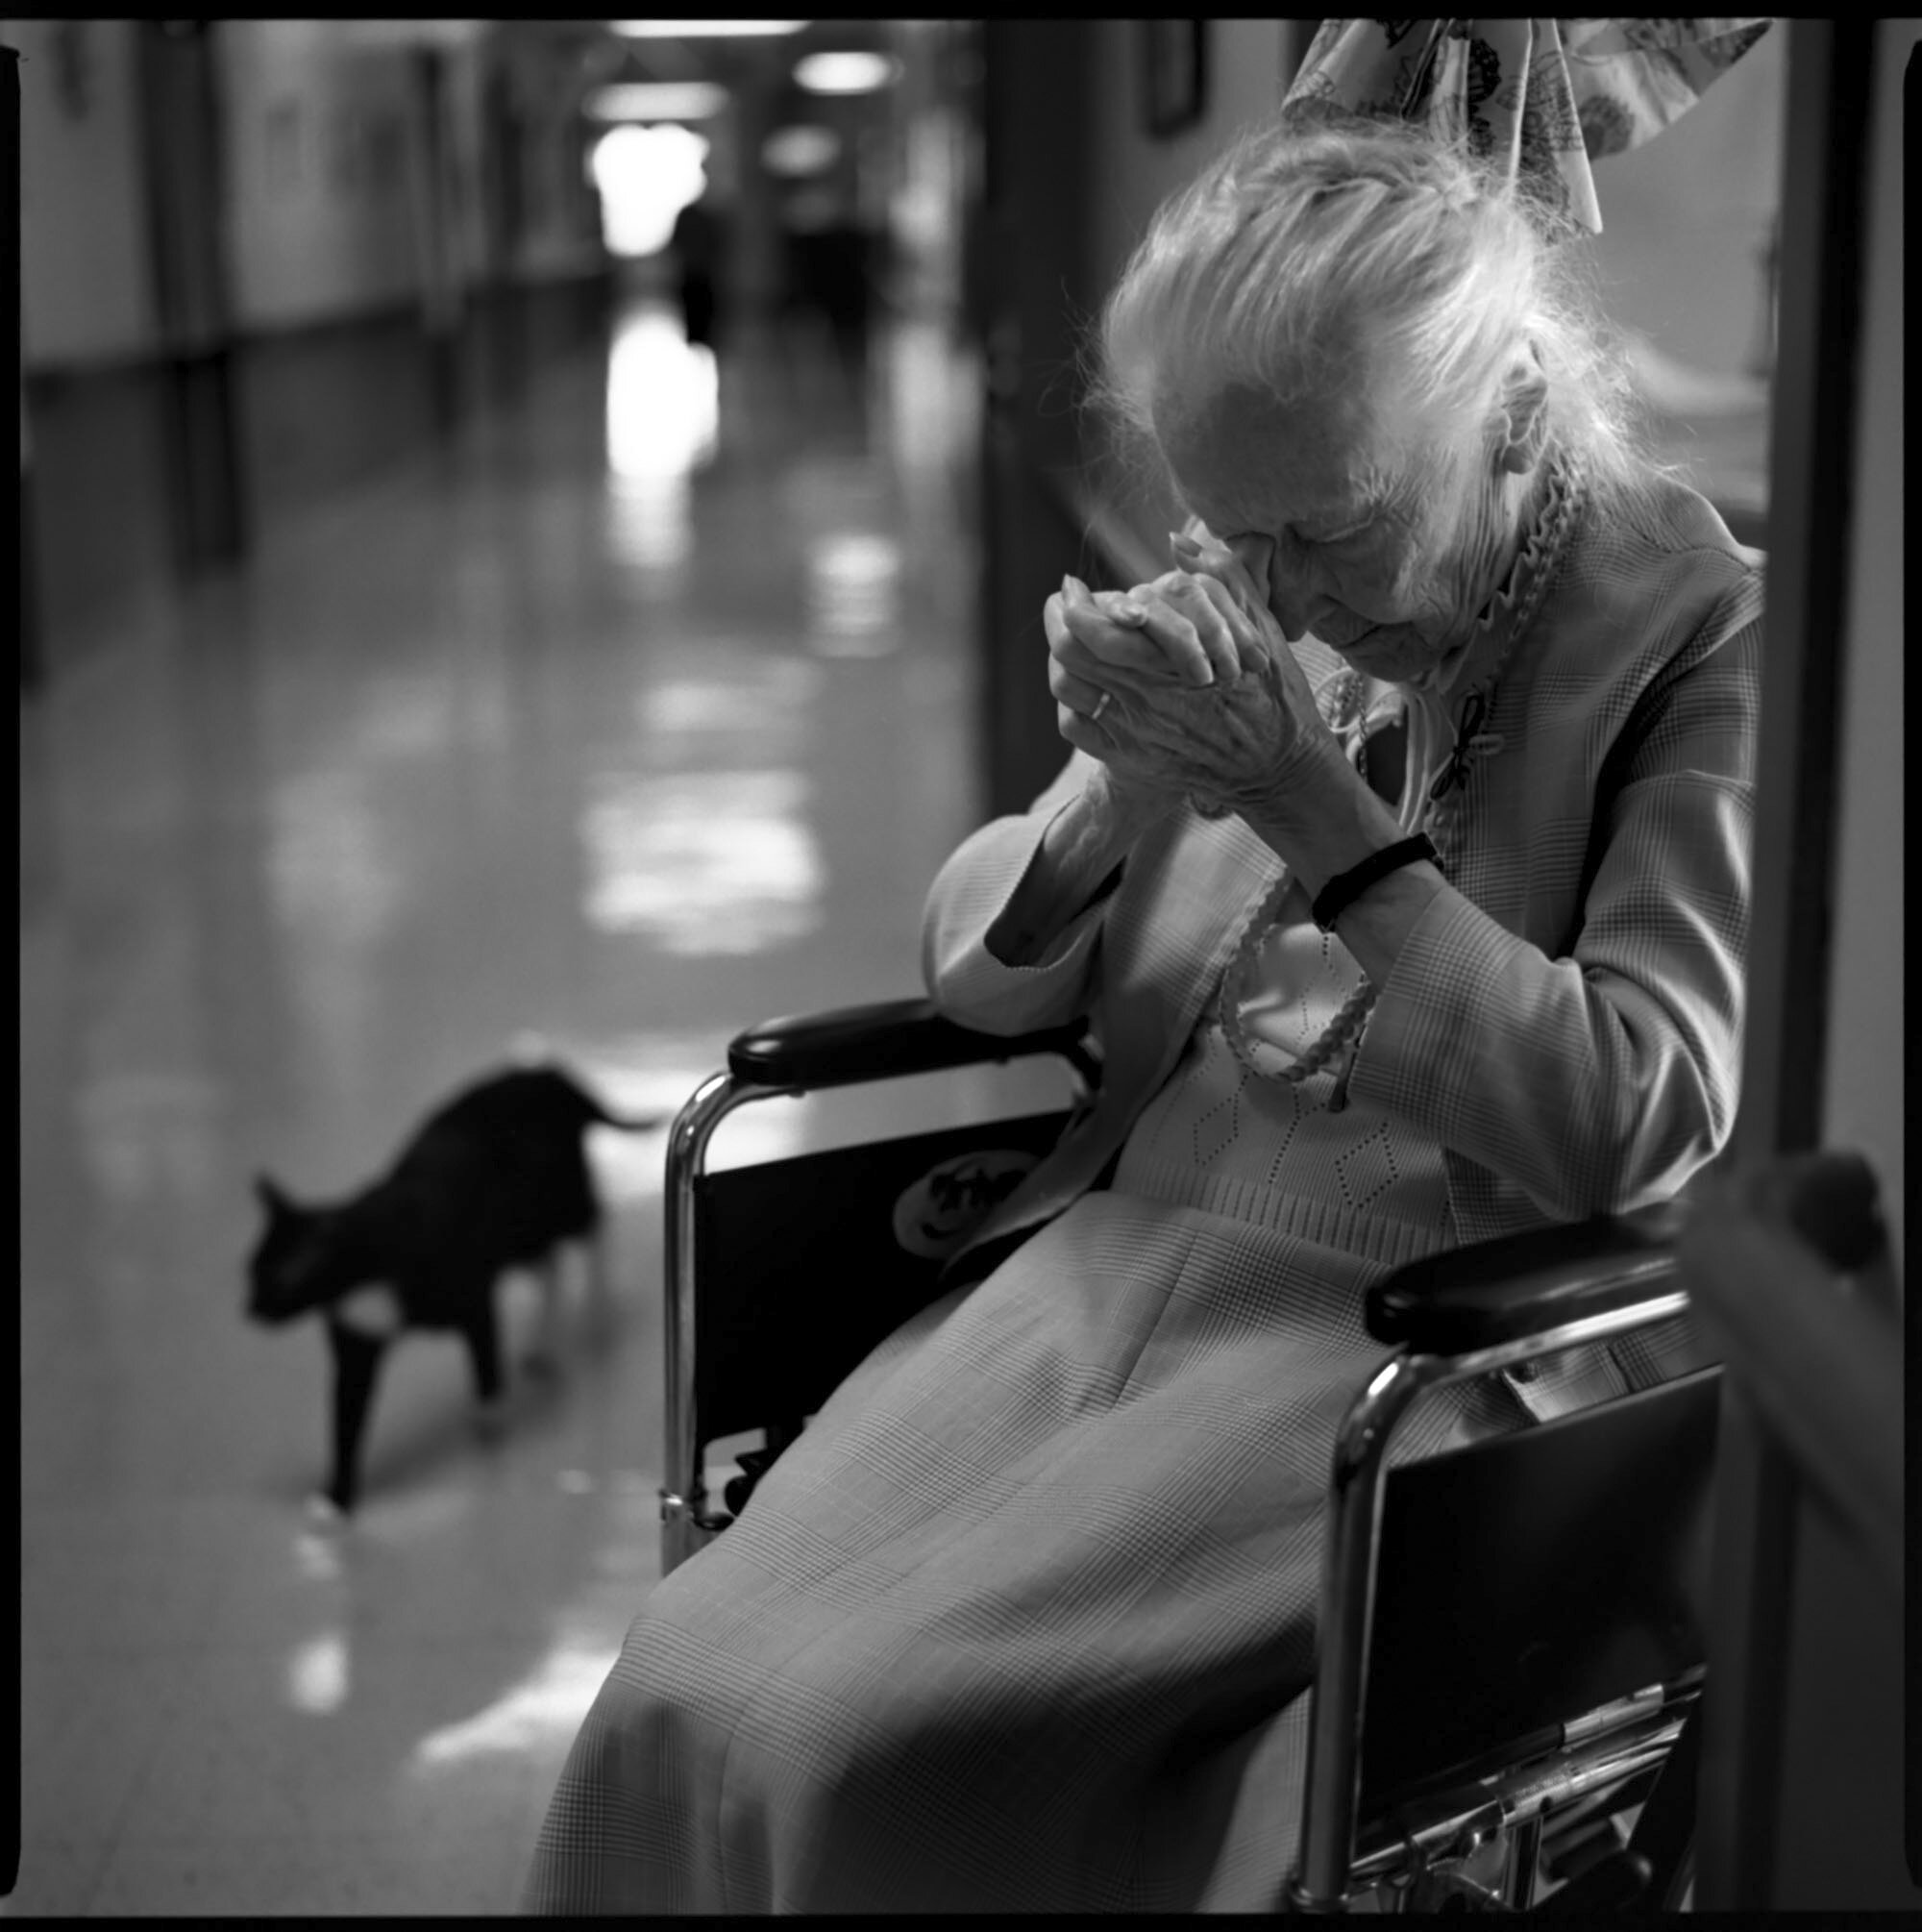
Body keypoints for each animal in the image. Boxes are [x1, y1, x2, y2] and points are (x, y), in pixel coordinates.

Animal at [244, 1066, 664, 1514]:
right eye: (248, 1273)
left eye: (276, 1280)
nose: (248, 1308)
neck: (370, 1275)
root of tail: (546, 1073)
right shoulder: (356, 1343)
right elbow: (346, 1421)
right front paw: (336, 1499)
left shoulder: (475, 1300)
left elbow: (486, 1373)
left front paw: (491, 1429)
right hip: (519, 1229)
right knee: (549, 1264)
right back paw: (542, 1343)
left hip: (555, 1199)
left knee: (595, 1225)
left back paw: (598, 1312)